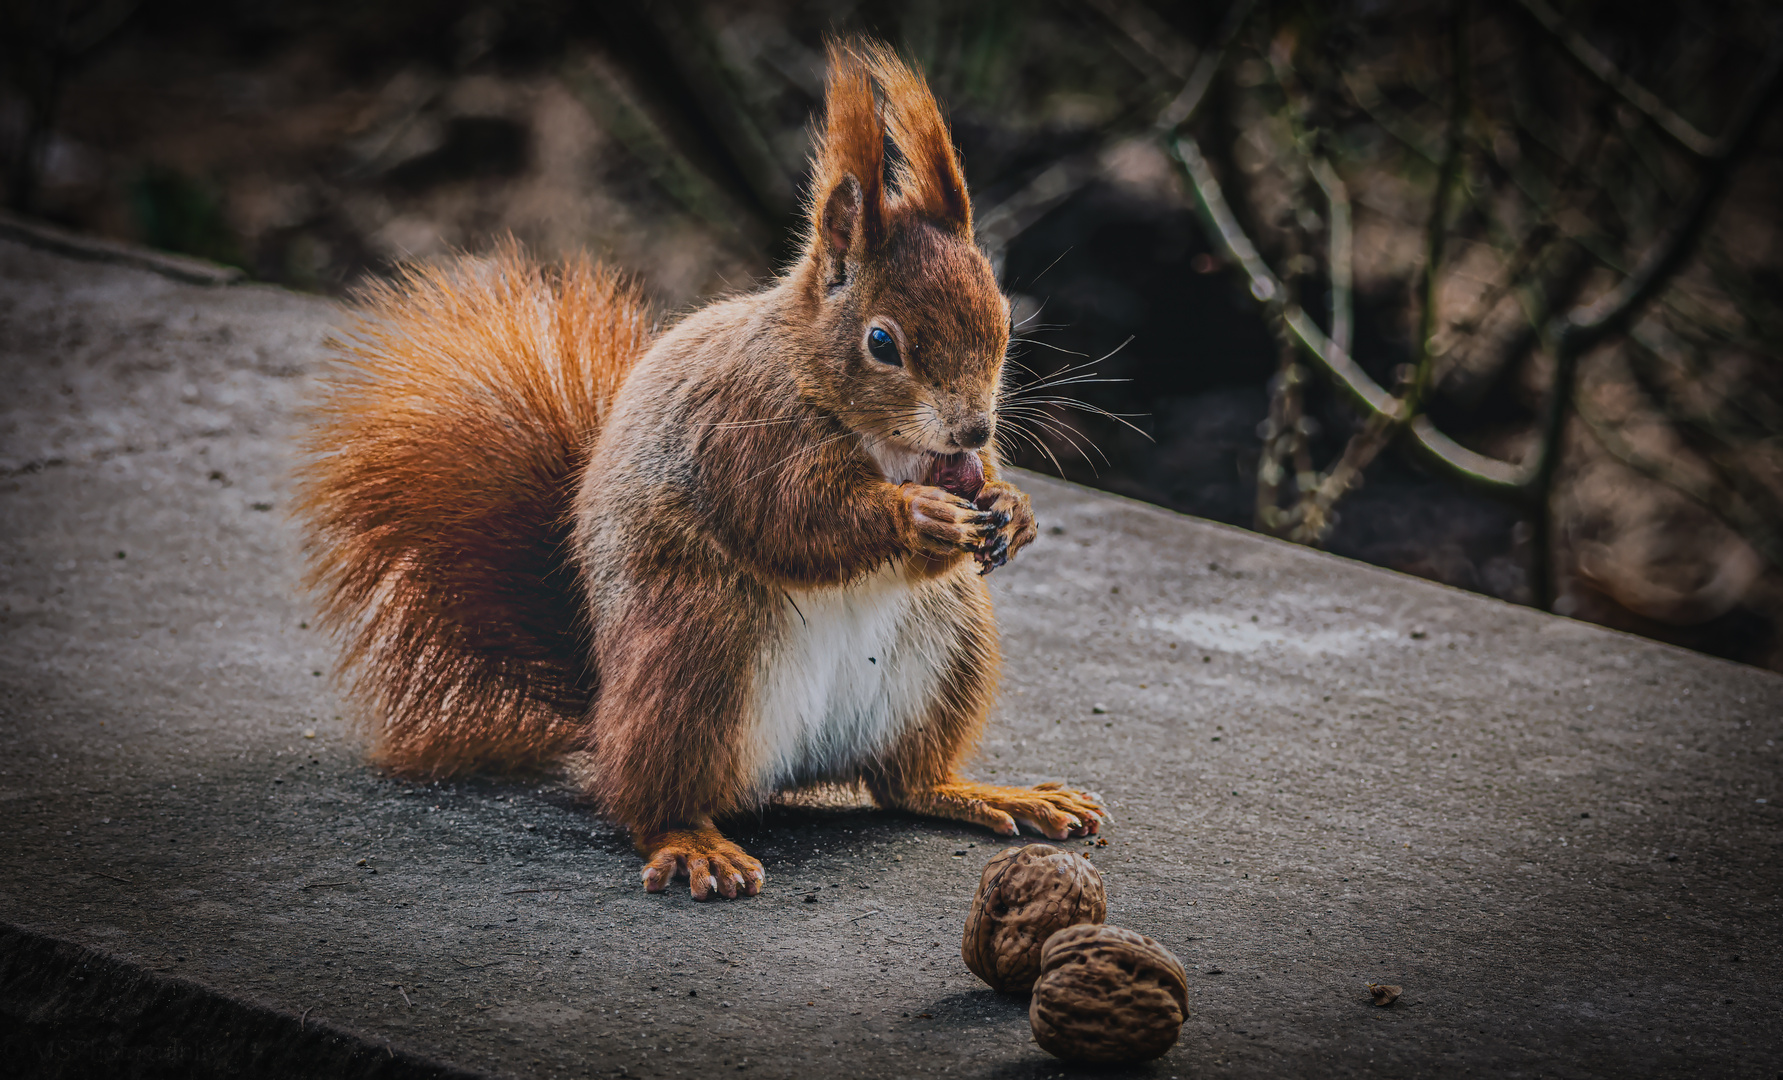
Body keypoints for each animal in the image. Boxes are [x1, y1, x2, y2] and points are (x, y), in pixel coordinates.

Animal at [299, 42, 1105, 901]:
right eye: (882, 342)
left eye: (1004, 316)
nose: (973, 427)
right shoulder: (737, 436)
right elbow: (793, 521)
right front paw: (916, 515)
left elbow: (961, 493)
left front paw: (1013, 506)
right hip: (696, 655)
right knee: (648, 799)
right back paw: (692, 842)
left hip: (949, 648)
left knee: (903, 782)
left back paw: (990, 793)